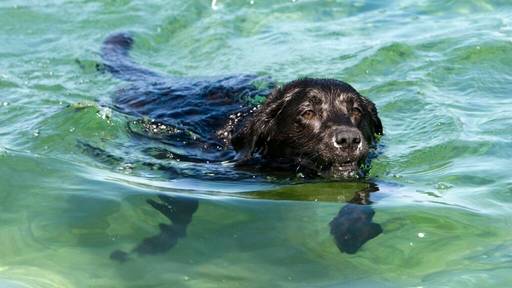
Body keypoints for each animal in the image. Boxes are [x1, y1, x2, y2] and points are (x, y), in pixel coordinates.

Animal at [99, 32, 380, 260]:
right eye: (308, 113)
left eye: (356, 110)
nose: (349, 139)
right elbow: (182, 207)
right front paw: (154, 244)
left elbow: (363, 193)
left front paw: (351, 230)